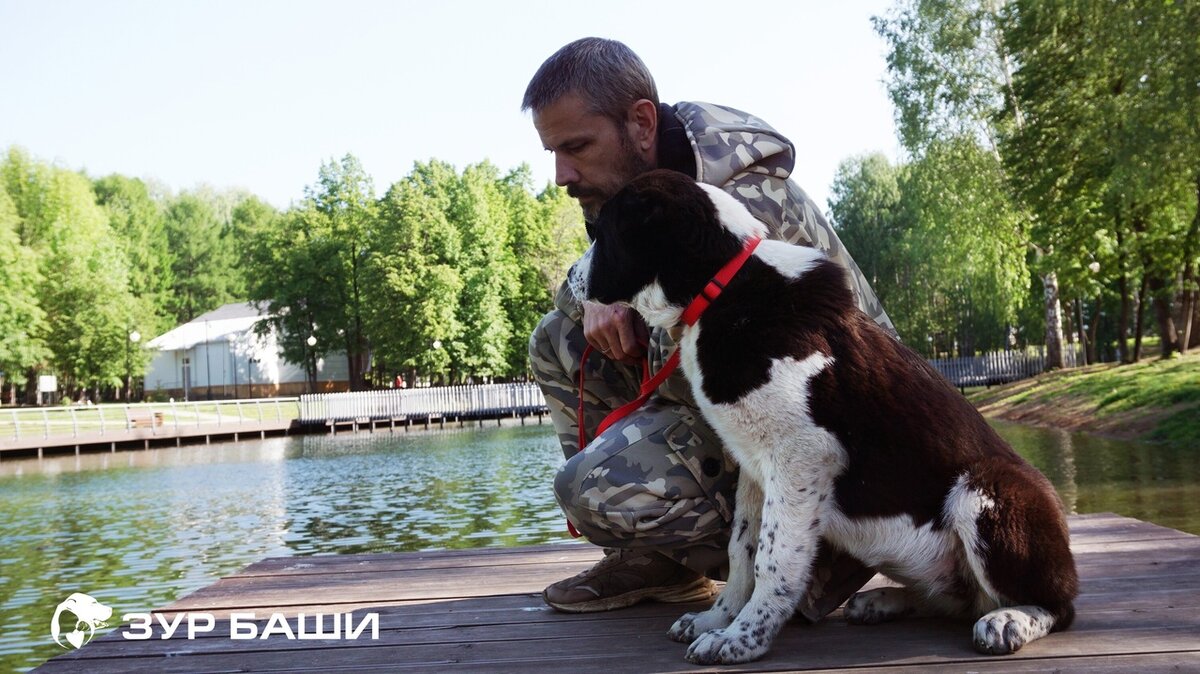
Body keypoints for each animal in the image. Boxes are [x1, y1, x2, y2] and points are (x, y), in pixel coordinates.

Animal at [569, 169, 1078, 665]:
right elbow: (742, 548)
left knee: (1056, 606)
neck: (725, 287)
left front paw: (743, 639)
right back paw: (883, 601)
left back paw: (1009, 620)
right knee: (960, 601)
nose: (569, 279)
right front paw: (718, 619)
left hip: (986, 490)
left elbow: (773, 558)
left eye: (601, 232)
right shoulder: (753, 465)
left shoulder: (803, 455)